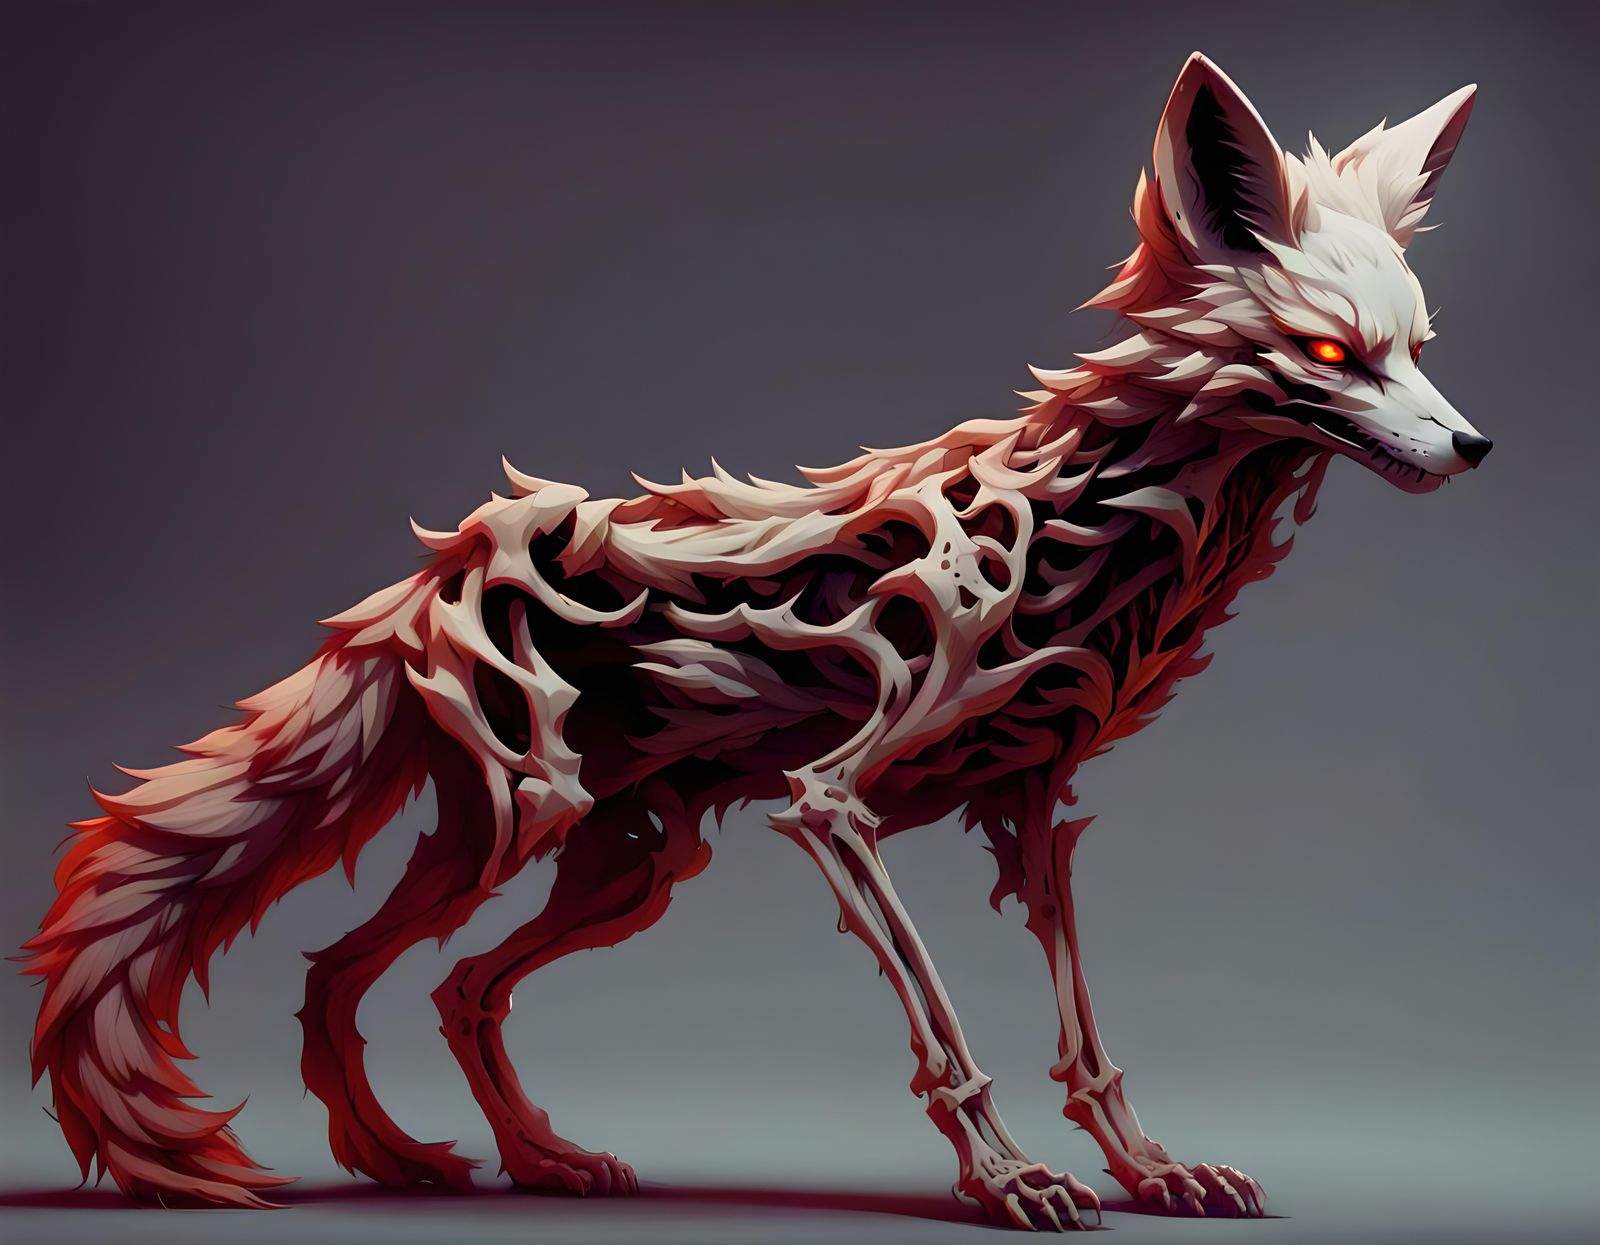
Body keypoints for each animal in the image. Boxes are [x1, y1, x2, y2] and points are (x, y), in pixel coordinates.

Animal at [22, 53, 1488, 1230]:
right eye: (1330, 352)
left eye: (1418, 348)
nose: (1473, 447)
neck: (1113, 523)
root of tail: (440, 566)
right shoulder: (831, 800)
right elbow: (945, 1022)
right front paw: (1010, 1181)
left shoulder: (1033, 807)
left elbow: (1086, 1031)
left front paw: (1154, 1170)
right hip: (526, 825)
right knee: (342, 973)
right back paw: (415, 1164)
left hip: (630, 866)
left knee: (455, 989)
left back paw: (532, 1163)